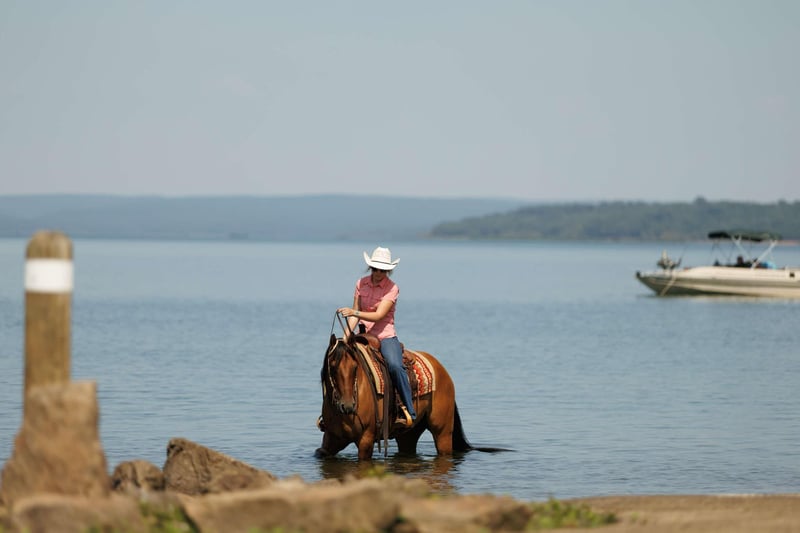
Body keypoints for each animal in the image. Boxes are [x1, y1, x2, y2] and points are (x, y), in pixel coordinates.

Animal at [315, 331, 499, 461]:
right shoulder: (332, 437)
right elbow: (320, 452)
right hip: (408, 435)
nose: (347, 405)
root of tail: (442, 371)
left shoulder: (366, 440)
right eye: (332, 367)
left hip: (443, 433)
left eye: (355, 367)